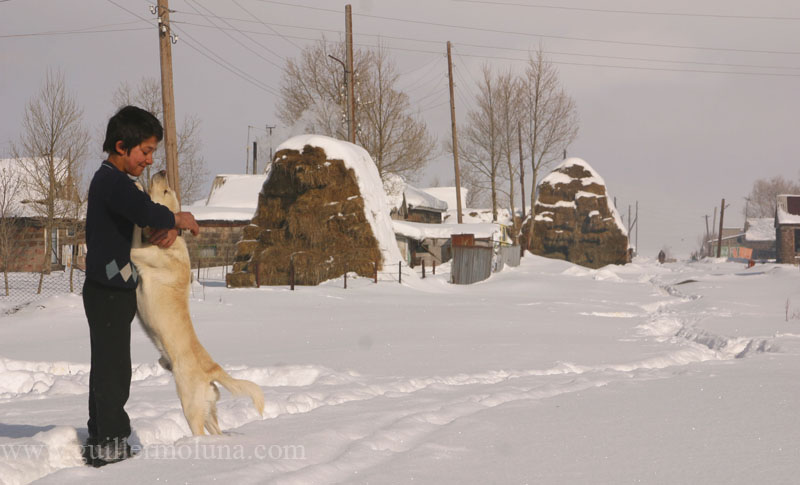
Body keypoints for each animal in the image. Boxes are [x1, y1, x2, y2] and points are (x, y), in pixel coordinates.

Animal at [131, 171, 266, 434]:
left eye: (166, 191)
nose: (162, 172)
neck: (170, 242)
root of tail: (213, 369)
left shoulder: (138, 252)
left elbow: (134, 235)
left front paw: (137, 186)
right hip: (208, 410)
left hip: (190, 406)